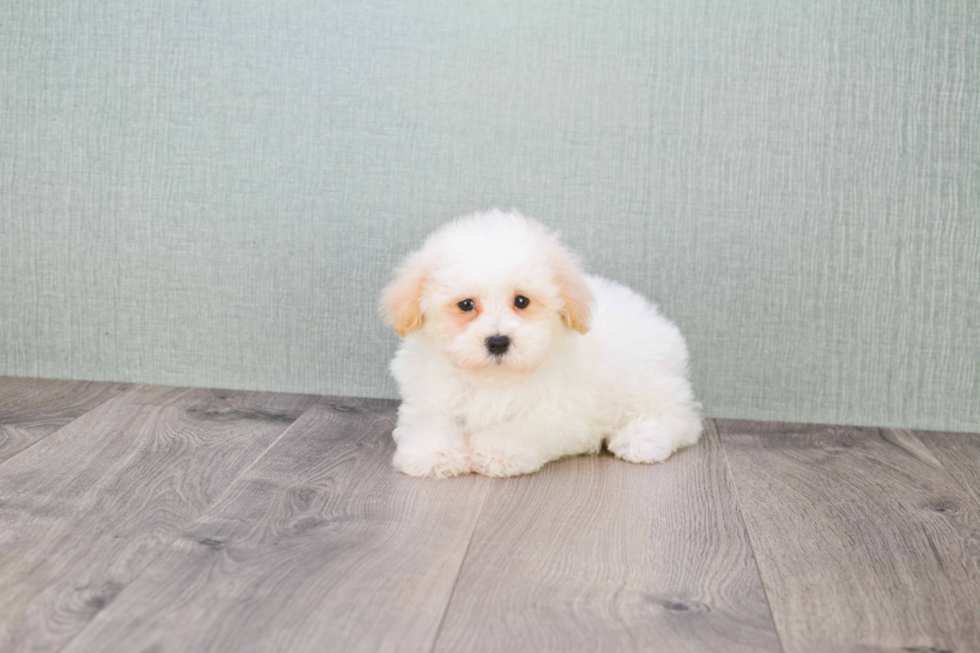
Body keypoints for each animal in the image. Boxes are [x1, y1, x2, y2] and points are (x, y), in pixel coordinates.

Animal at [378, 211, 700, 476]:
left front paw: (499, 450)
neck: (494, 380)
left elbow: (525, 427)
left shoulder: (560, 410)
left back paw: (642, 438)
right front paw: (434, 453)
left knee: (683, 419)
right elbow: (430, 421)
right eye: (466, 305)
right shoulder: (429, 397)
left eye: (521, 301)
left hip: (648, 384)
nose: (498, 341)